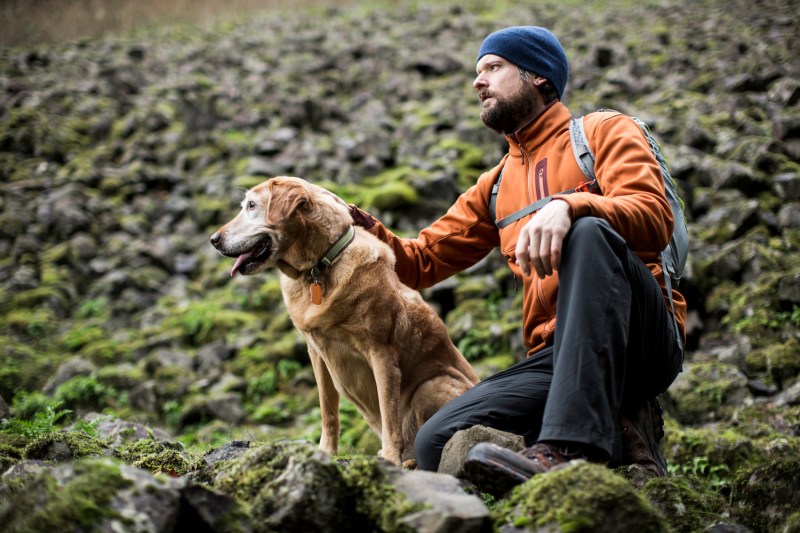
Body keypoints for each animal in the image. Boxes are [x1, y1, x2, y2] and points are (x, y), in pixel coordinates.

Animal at [209, 177, 478, 464]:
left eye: (251, 205)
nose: (213, 240)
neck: (318, 267)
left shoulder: (381, 354)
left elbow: (389, 415)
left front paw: (390, 458)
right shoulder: (317, 353)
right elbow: (328, 412)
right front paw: (326, 451)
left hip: (430, 386)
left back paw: (406, 460)